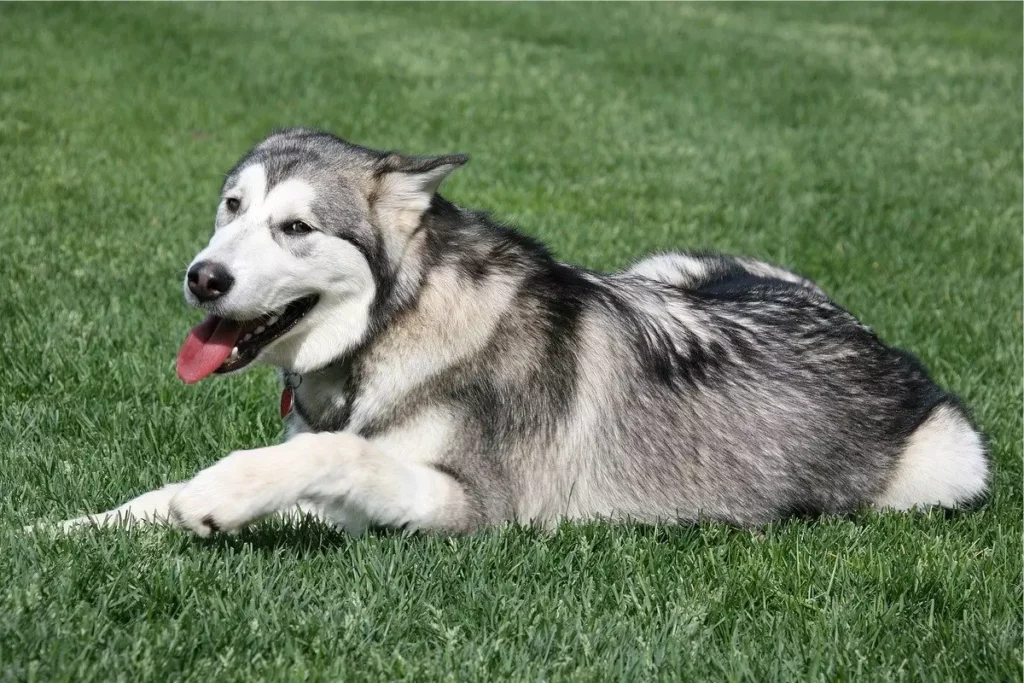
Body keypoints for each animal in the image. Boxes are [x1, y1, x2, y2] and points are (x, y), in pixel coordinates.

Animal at [49, 126, 991, 532]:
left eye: (296, 228)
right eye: (232, 207)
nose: (203, 277)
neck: (398, 329)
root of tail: (861, 328)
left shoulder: (477, 508)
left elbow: (332, 454)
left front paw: (219, 495)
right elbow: (172, 492)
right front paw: (72, 532)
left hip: (949, 466)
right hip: (671, 262)